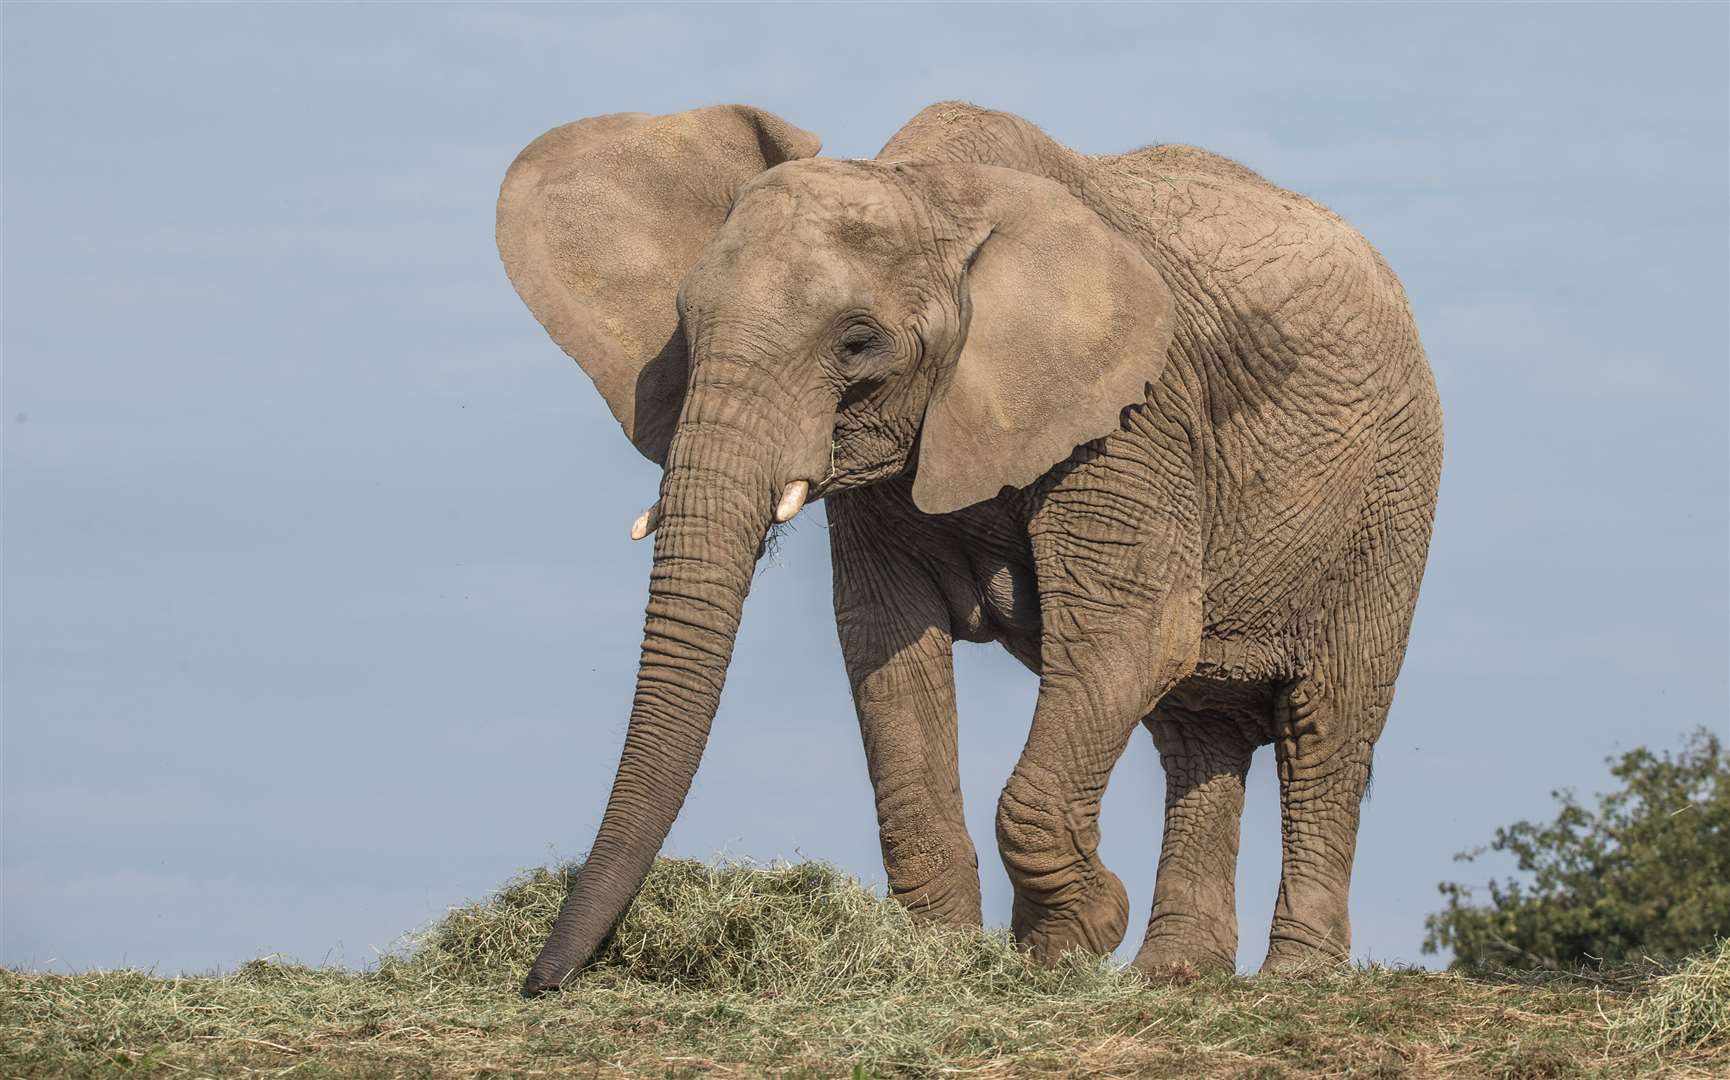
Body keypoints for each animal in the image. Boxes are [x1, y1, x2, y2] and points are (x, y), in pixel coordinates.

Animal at [501, 101, 1446, 996]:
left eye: (856, 341)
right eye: (685, 330)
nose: (540, 983)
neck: (932, 191)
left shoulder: (1134, 419)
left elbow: (1133, 634)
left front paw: (1068, 941)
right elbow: (887, 644)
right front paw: (946, 959)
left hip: (1393, 487)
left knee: (1324, 722)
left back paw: (1296, 975)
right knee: (1196, 730)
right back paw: (1173, 974)